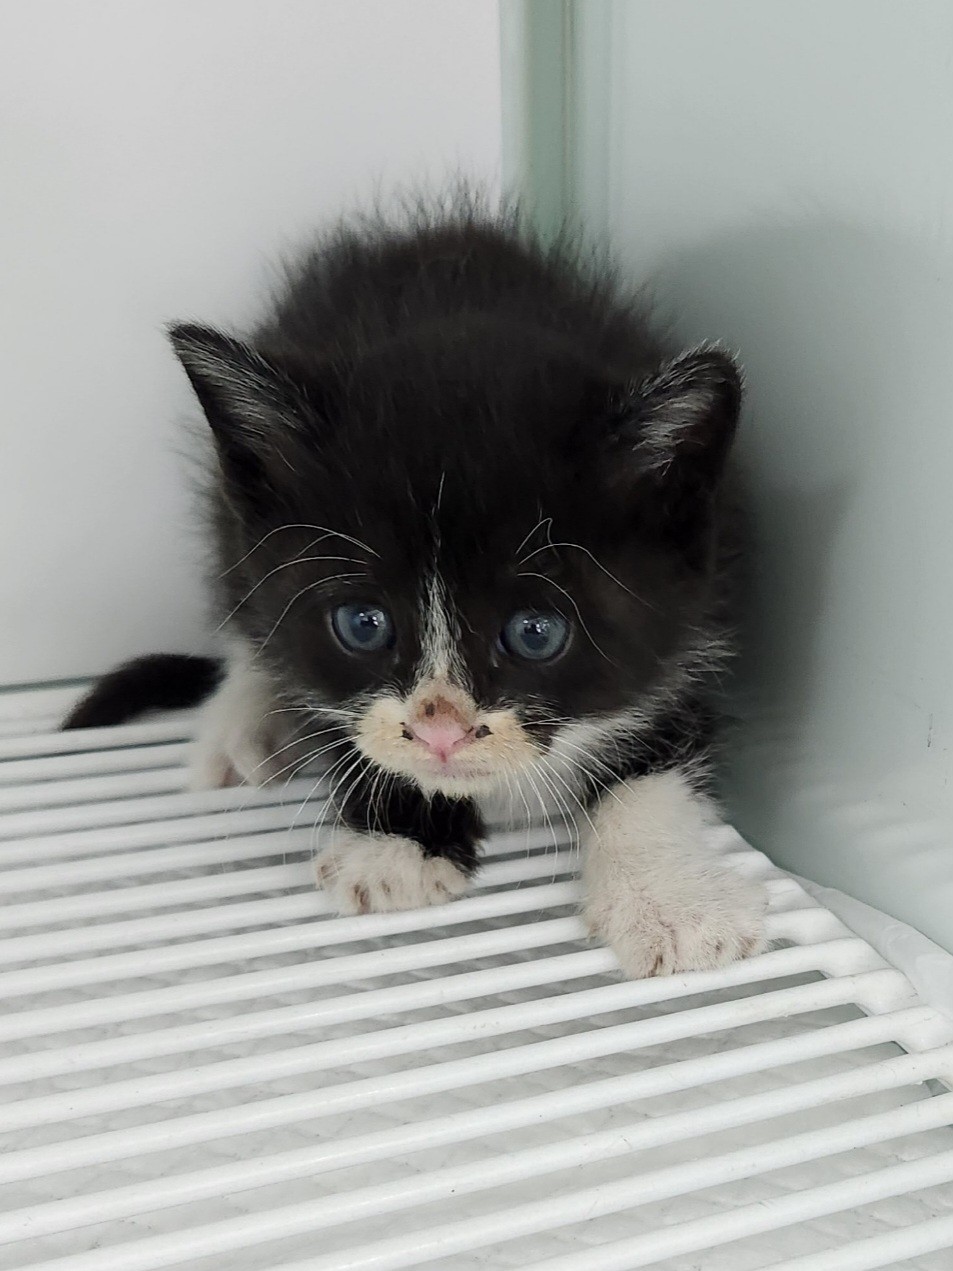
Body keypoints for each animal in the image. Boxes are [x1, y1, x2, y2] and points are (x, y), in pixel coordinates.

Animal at [67, 205, 767, 981]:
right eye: (362, 623)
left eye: (536, 632)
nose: (441, 733)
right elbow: (336, 710)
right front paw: (397, 844)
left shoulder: (697, 612)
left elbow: (654, 764)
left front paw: (670, 901)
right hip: (230, 529)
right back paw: (236, 726)